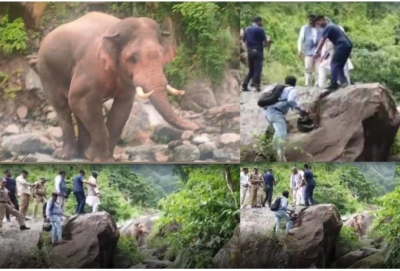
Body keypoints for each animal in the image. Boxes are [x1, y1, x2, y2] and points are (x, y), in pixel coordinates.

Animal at [30, 11, 199, 163]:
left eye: (161, 55)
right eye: (132, 58)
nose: (197, 126)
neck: (115, 31)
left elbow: (121, 109)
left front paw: (105, 158)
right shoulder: (91, 67)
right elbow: (79, 99)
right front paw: (97, 158)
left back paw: (82, 154)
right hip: (46, 70)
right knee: (63, 107)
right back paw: (67, 156)